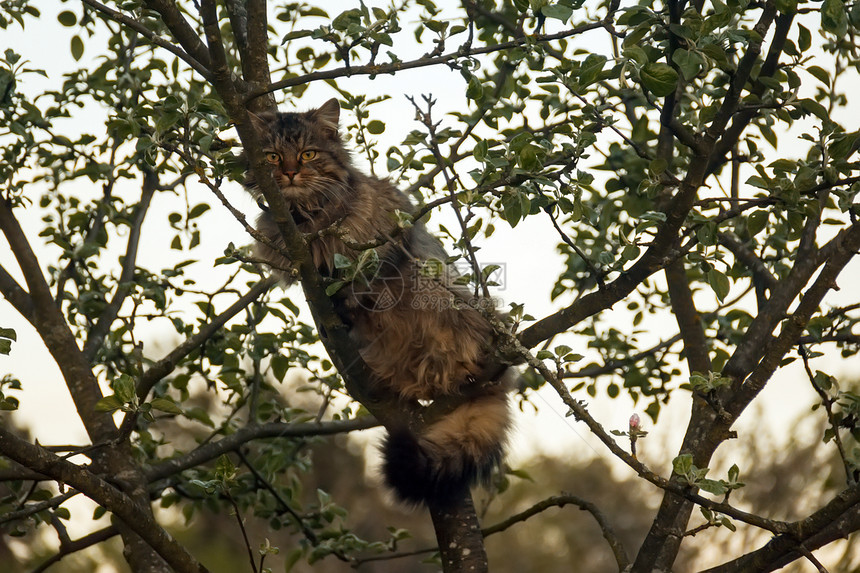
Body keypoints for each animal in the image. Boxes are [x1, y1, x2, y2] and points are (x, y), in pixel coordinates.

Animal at [242, 99, 510, 504]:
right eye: (272, 156)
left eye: (308, 154)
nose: (289, 173)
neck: (304, 221)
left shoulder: (384, 247)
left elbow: (362, 283)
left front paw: (347, 303)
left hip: (439, 290)